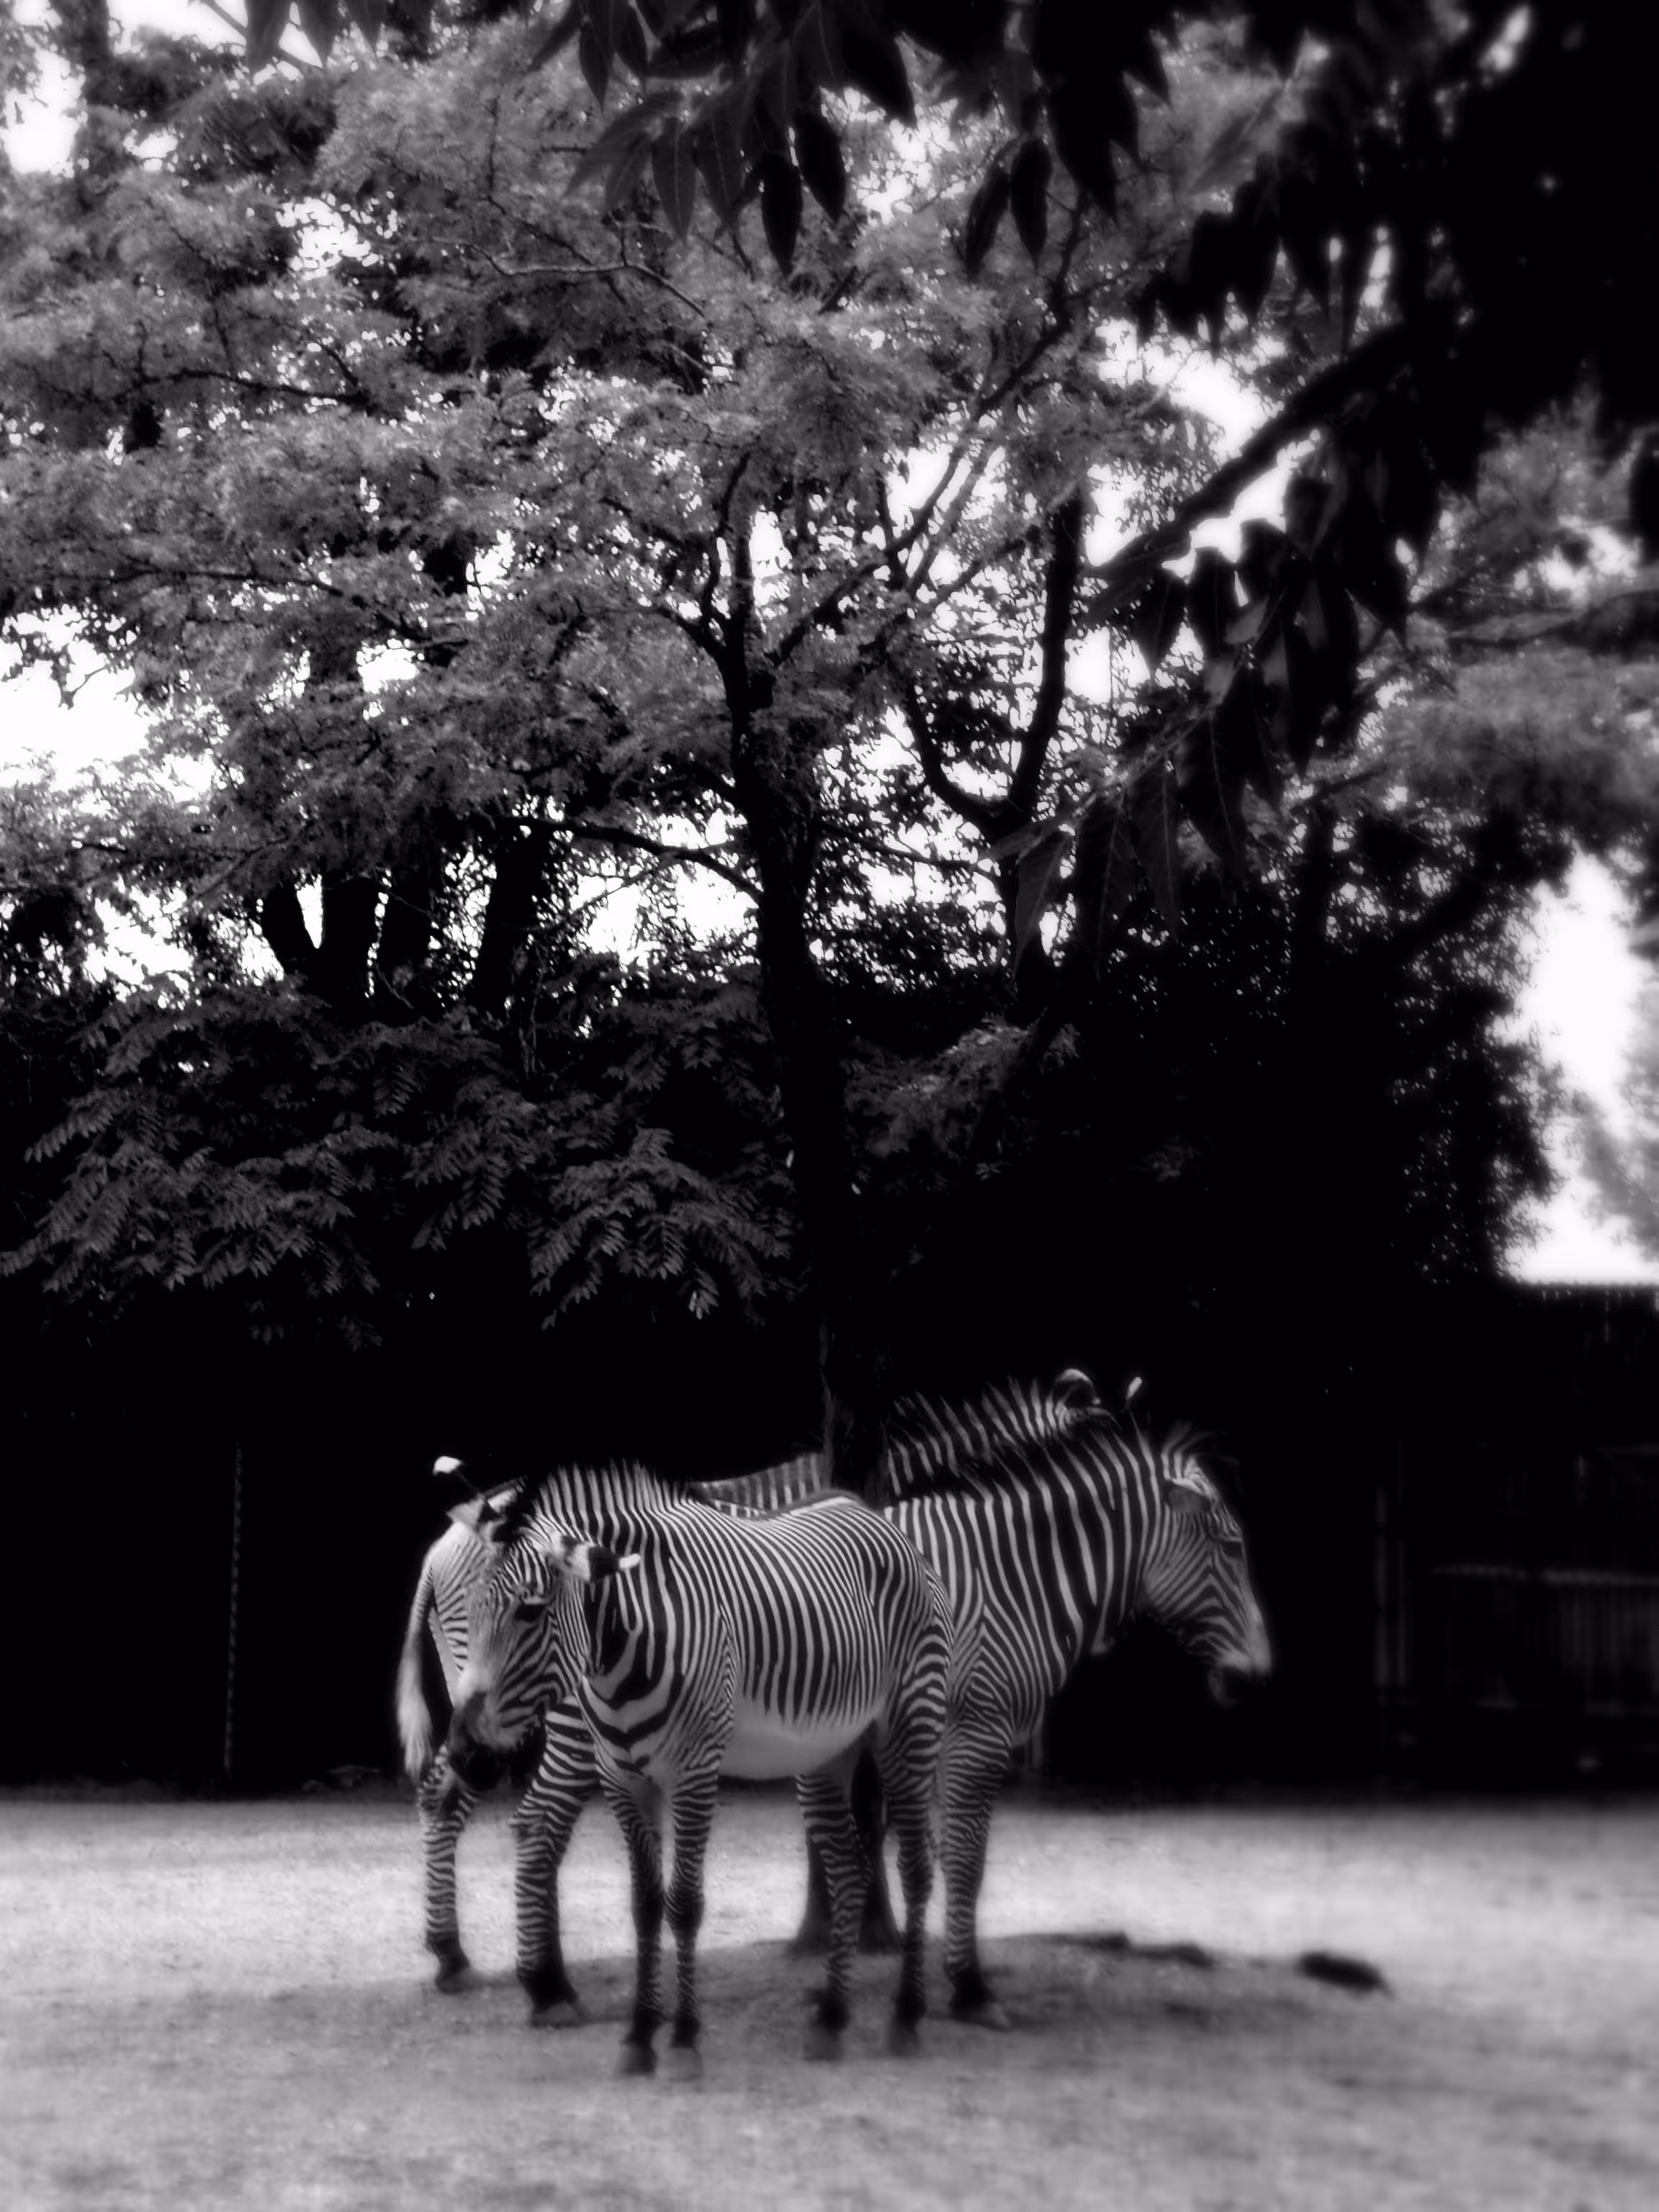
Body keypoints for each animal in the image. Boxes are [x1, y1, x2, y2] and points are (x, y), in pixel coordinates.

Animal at [449, 1460, 954, 2077]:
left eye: (531, 1610)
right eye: (470, 1606)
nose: (465, 1757)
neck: (620, 1658)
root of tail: (881, 1523)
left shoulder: (693, 1774)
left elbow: (685, 1904)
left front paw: (685, 2039)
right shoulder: (623, 1779)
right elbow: (645, 1906)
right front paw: (640, 2036)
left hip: (911, 1726)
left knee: (915, 1869)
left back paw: (906, 2016)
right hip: (824, 1754)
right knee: (849, 1870)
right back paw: (831, 2021)